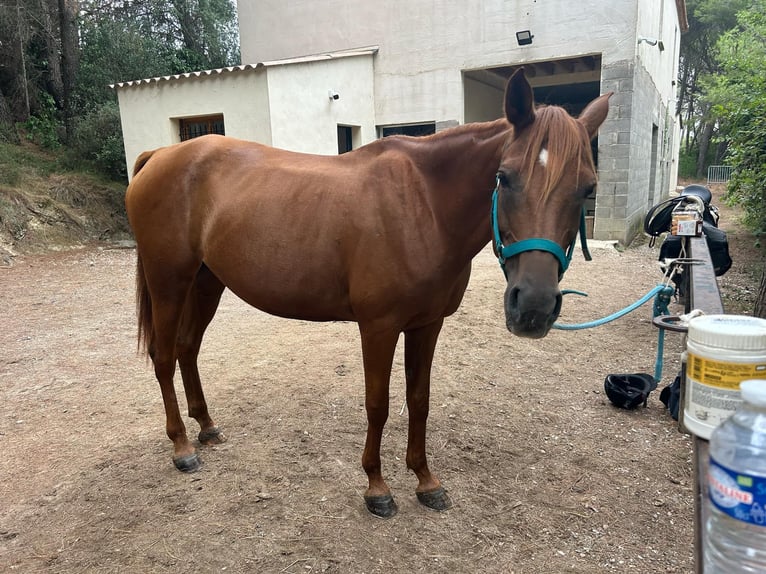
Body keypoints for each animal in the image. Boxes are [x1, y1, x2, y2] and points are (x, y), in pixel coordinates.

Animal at [129, 70, 616, 520]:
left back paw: (207, 428)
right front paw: (377, 488)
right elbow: (378, 405)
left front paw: (426, 481)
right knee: (164, 356)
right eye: (505, 177)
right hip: (169, 281)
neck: (424, 205)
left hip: (206, 281)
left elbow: (418, 401)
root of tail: (160, 155)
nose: (533, 306)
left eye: (588, 188)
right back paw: (182, 447)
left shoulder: (427, 324)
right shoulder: (379, 328)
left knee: (188, 348)